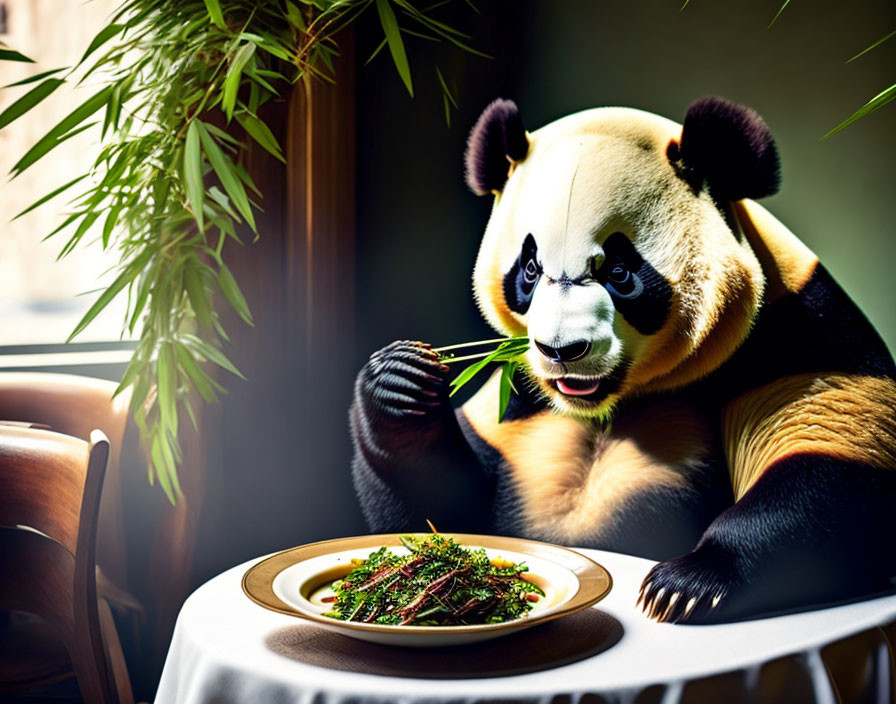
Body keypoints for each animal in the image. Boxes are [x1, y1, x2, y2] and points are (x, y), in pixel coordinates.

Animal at [350, 96, 896, 624]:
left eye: (619, 271)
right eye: (530, 270)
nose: (562, 351)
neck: (610, 403)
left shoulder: (799, 333)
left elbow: (833, 469)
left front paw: (686, 583)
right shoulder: (518, 392)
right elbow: (446, 513)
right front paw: (400, 381)